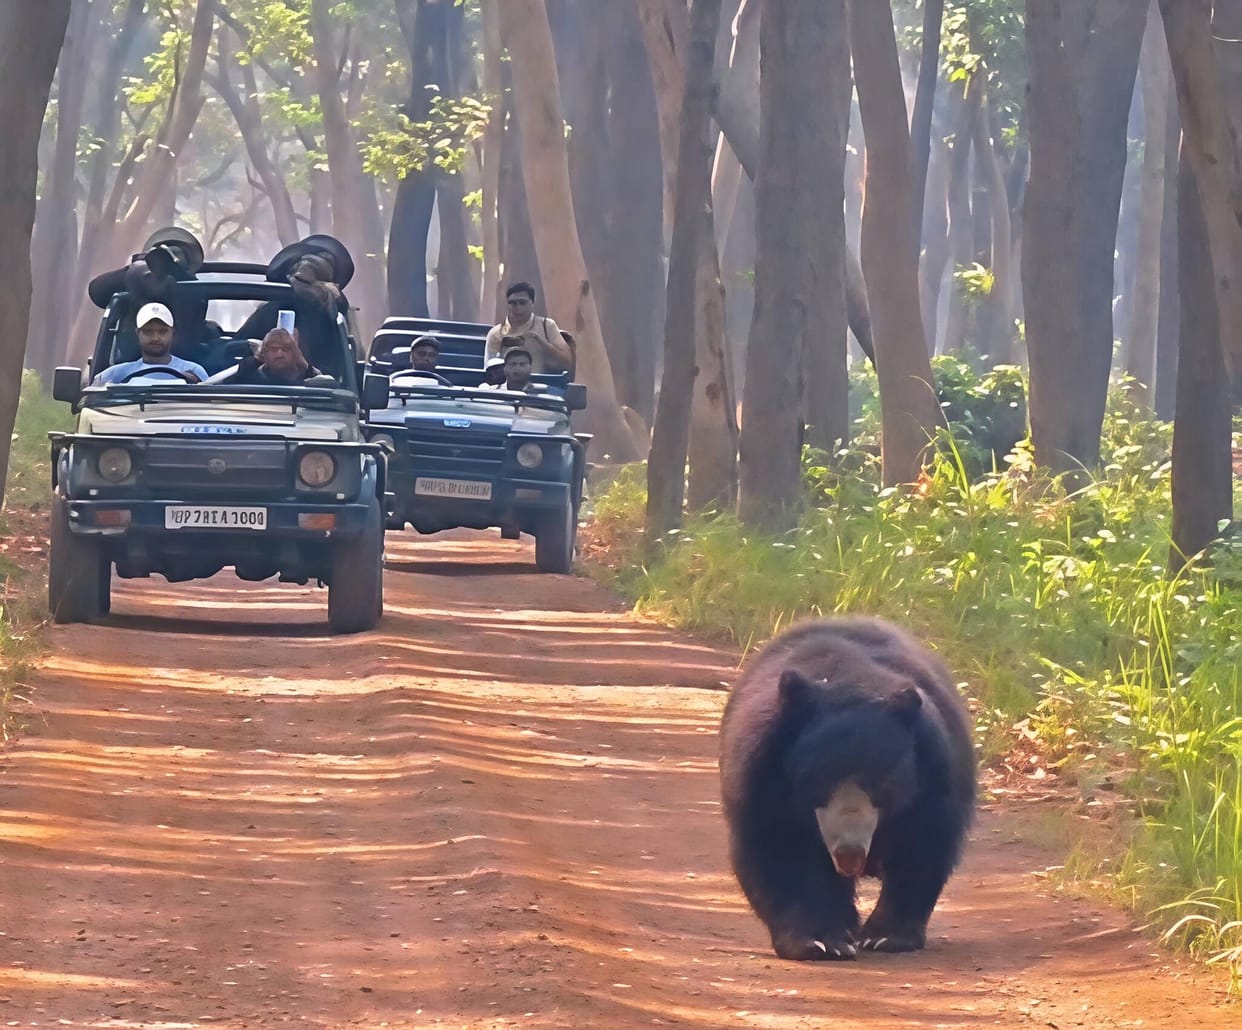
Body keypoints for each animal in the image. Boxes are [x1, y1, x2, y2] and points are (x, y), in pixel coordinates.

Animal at [718, 616, 976, 961]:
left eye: (881, 782)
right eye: (818, 780)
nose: (850, 853)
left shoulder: (933, 778)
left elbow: (922, 846)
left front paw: (886, 937)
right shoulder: (762, 779)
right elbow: (777, 850)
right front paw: (819, 941)